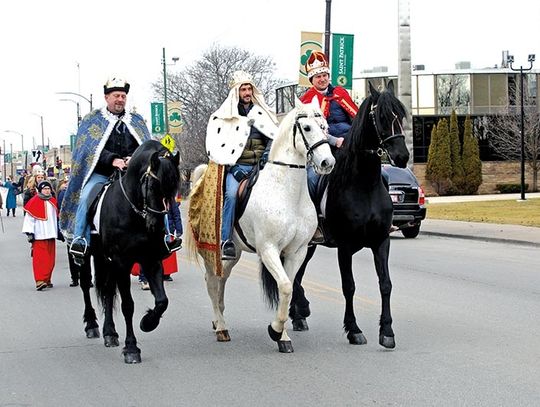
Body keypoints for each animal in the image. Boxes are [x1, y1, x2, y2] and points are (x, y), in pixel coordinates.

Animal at [75, 140, 179, 364]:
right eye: (152, 186)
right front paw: (131, 348)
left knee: (107, 291)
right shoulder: (122, 261)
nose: (155, 226)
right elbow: (127, 306)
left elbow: (162, 301)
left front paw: (148, 322)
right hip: (87, 257)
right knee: (86, 285)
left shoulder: (150, 260)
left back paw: (110, 333)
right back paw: (92, 325)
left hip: (106, 261)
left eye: (174, 189)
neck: (132, 212)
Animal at [188, 99, 336, 354]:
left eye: (324, 126)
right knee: (212, 282)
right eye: (307, 128)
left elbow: (288, 290)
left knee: (221, 282)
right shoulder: (268, 250)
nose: (327, 162)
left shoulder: (297, 252)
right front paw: (275, 331)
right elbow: (285, 287)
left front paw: (283, 337)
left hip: (233, 256)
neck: (287, 193)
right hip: (212, 253)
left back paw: (219, 321)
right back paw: (221, 327)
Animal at [292, 81, 410, 350]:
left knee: (297, 274)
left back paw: (297, 315)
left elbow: (385, 284)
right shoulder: (345, 247)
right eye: (382, 117)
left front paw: (387, 331)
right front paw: (354, 330)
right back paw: (300, 310)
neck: (362, 184)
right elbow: (349, 286)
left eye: (402, 115)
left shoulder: (381, 241)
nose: (402, 157)